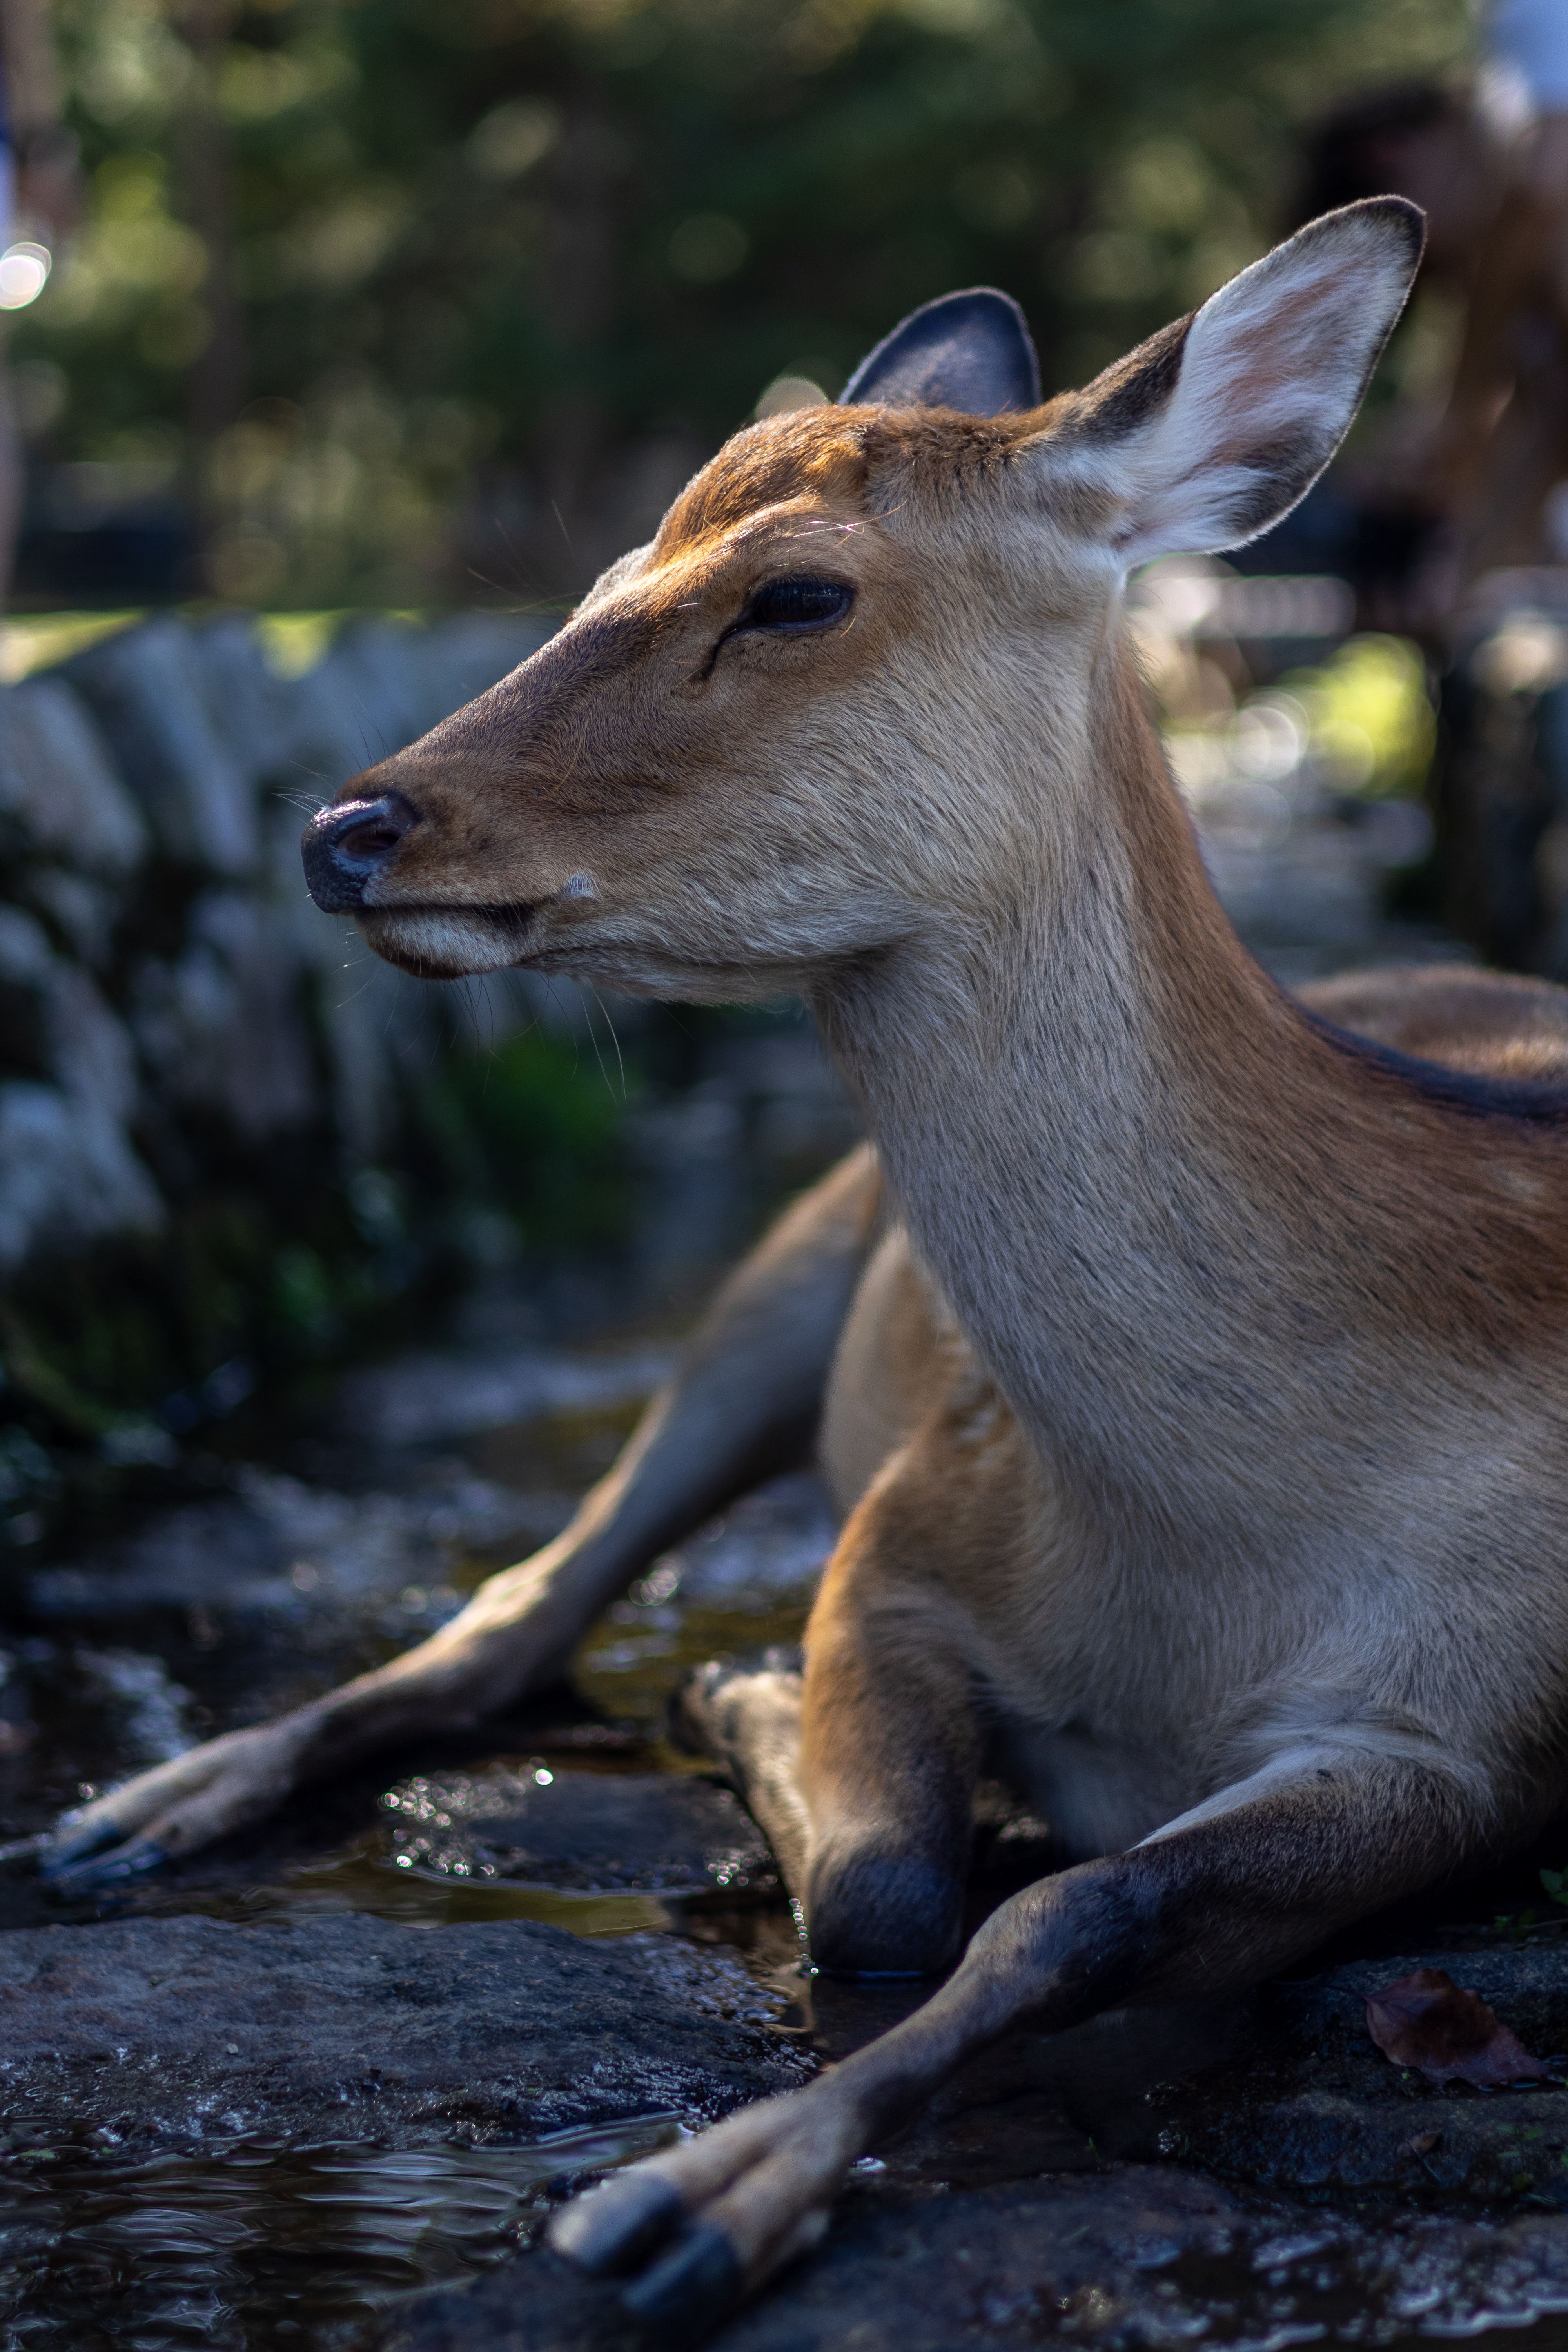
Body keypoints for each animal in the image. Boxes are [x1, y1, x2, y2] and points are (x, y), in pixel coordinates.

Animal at [44, 194, 1568, 2332]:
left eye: (793, 595)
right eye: (608, 572)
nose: (347, 826)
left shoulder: (1467, 1730)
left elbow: (1067, 1914)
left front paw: (687, 2202)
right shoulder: (900, 1520)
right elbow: (881, 1887)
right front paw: (742, 1718)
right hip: (771, 1278)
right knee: (516, 1602)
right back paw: (133, 1811)